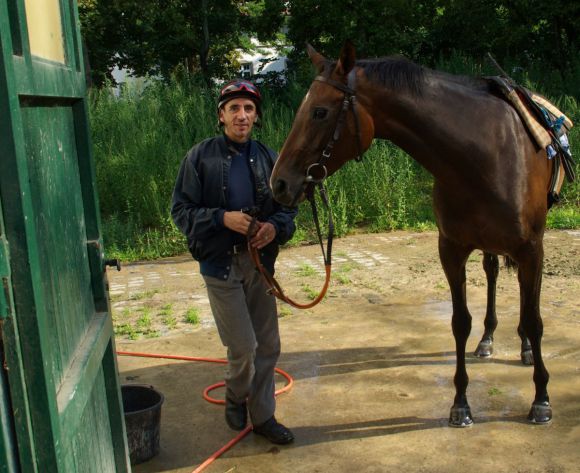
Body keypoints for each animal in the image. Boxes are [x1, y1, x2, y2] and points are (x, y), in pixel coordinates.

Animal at [270, 44, 556, 426]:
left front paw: (541, 399)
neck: (483, 156)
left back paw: (524, 348)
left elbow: (534, 320)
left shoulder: (532, 250)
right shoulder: (451, 249)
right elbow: (460, 323)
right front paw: (460, 404)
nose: (279, 183)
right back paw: (488, 340)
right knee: (493, 273)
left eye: (319, 111)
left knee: (524, 301)